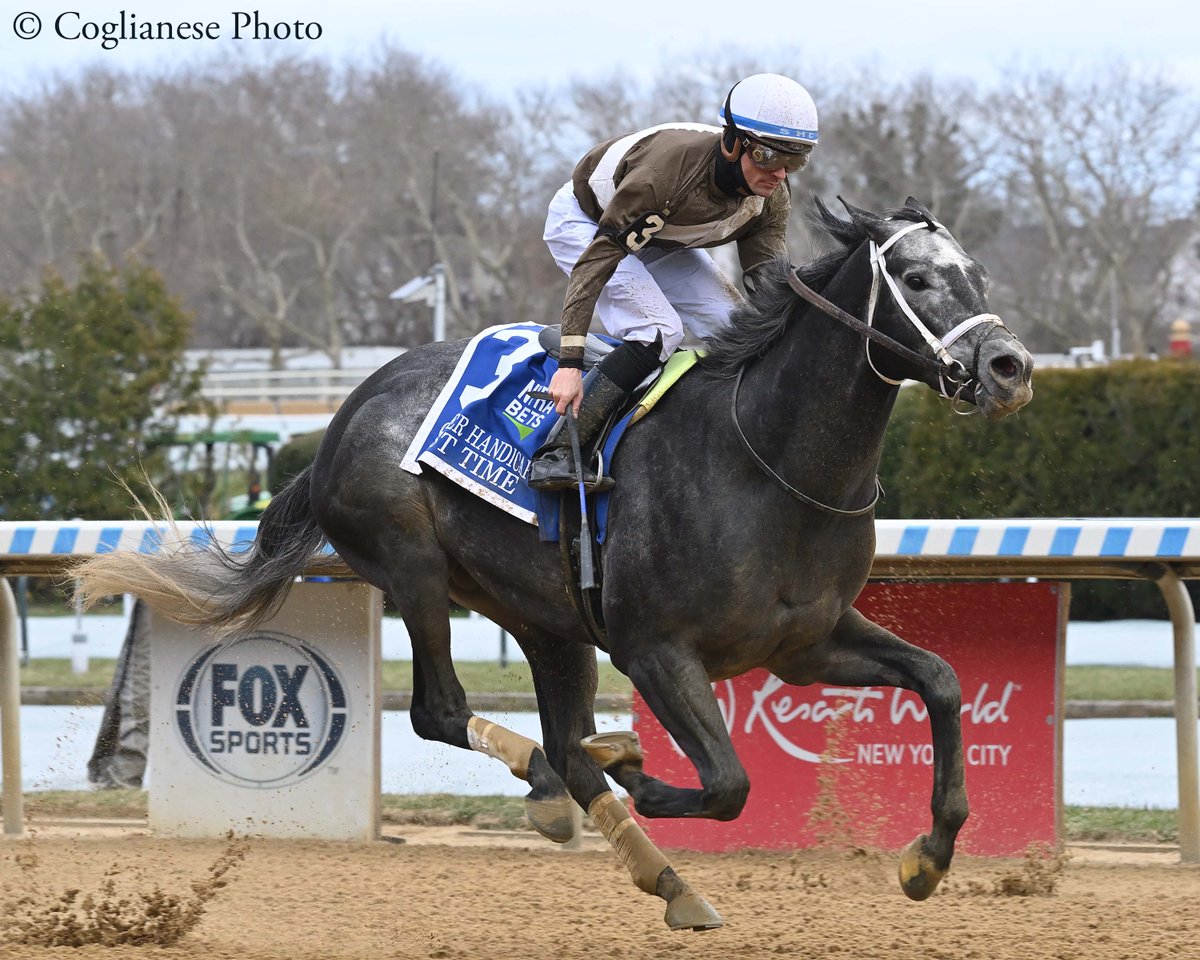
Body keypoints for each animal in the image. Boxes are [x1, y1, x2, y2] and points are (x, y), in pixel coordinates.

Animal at [75, 196, 1032, 931]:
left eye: (979, 275)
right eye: (916, 279)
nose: (1008, 365)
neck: (765, 462)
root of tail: (341, 420)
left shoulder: (806, 644)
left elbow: (942, 680)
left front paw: (928, 857)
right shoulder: (656, 650)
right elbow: (726, 783)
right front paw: (636, 764)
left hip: (546, 618)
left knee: (561, 742)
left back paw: (665, 878)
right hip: (415, 569)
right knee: (447, 712)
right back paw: (558, 787)